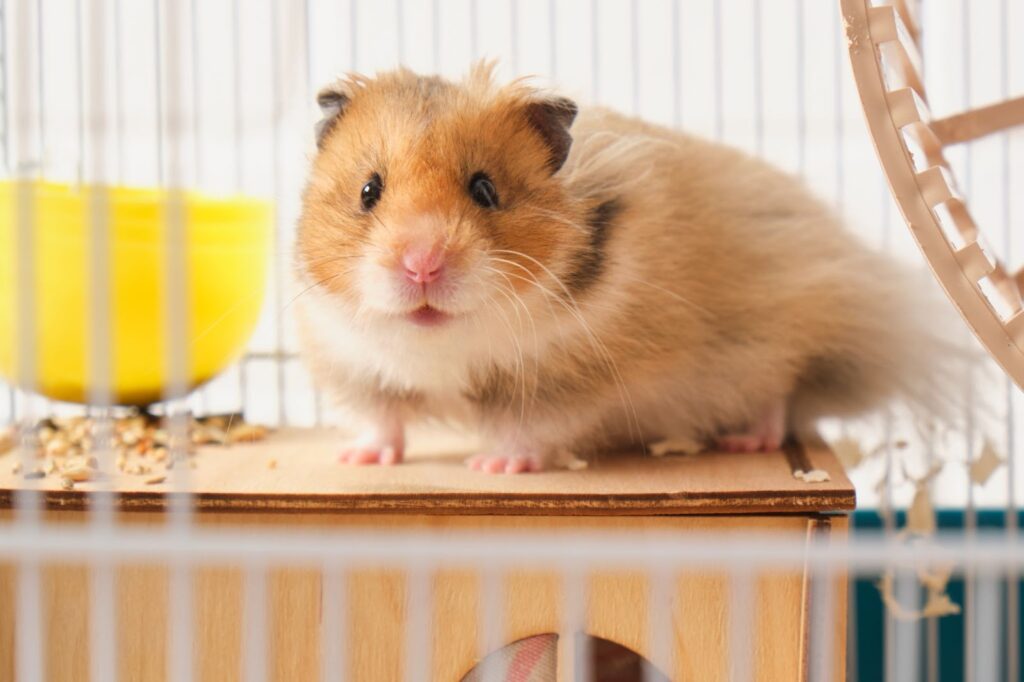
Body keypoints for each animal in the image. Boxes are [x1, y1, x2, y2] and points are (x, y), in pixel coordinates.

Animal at [294, 63, 953, 474]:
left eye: (485, 190)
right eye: (369, 190)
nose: (422, 266)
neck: (443, 344)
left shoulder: (565, 383)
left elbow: (527, 429)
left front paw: (495, 465)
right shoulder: (361, 367)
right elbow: (383, 420)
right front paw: (358, 458)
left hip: (773, 341)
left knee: (782, 394)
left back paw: (749, 437)